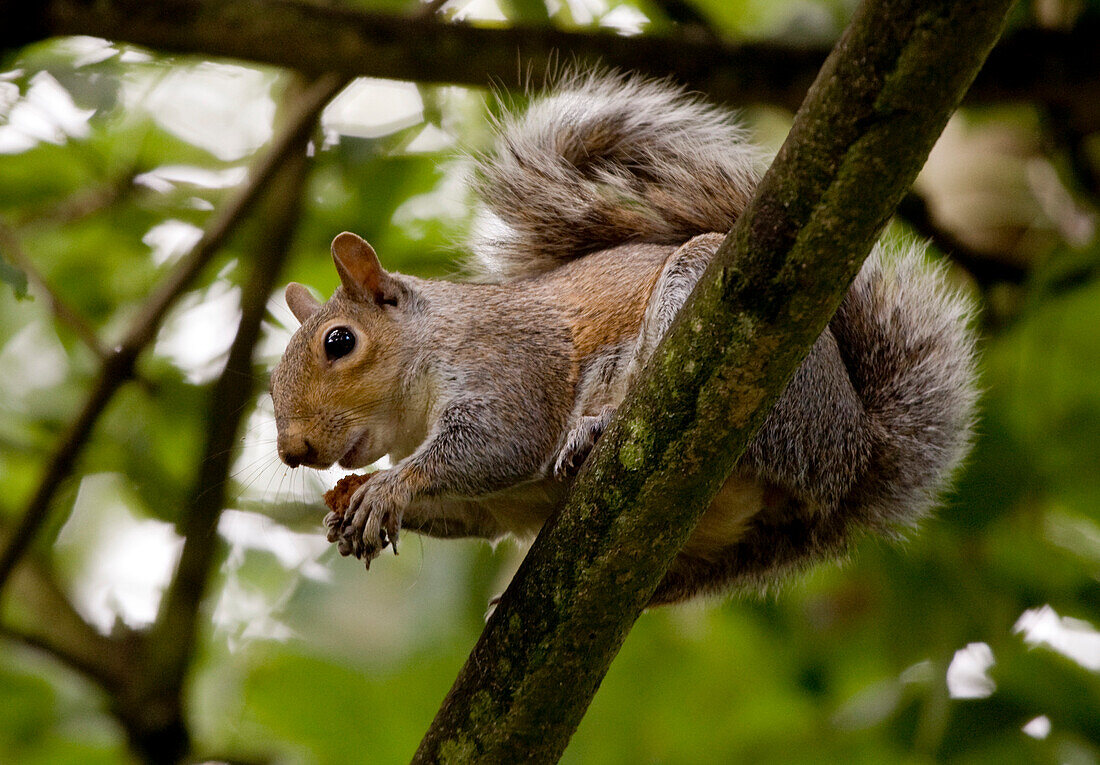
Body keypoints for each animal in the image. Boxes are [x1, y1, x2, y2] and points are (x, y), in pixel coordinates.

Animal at [270, 70, 976, 603]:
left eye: (339, 342)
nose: (292, 451)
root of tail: (853, 451)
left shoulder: (510, 367)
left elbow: (498, 445)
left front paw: (391, 485)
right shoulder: (486, 504)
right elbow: (470, 511)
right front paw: (352, 506)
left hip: (734, 355)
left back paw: (596, 428)